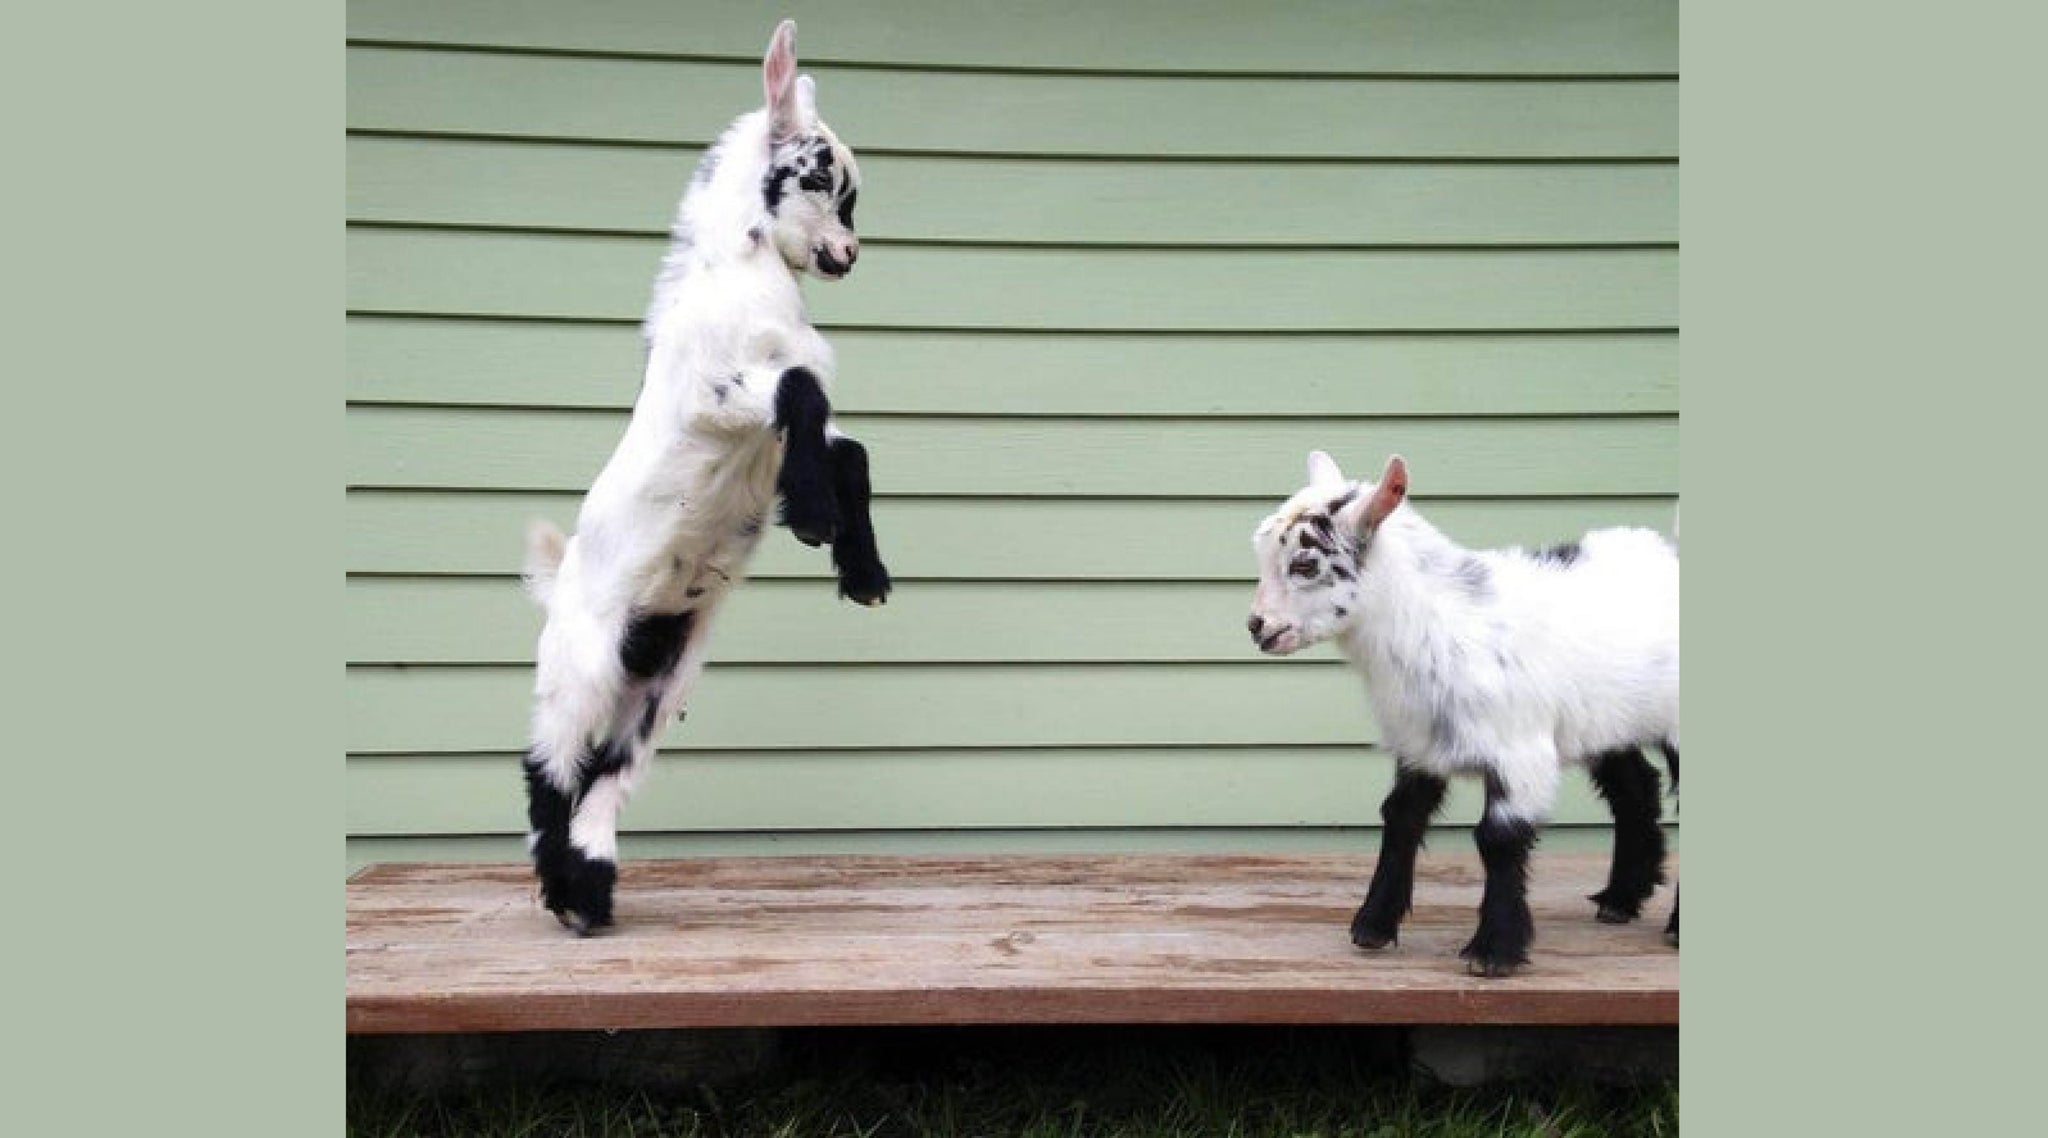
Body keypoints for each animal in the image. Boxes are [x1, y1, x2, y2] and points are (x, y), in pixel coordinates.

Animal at [520, 20, 890, 935]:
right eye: (823, 178)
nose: (848, 255)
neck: (738, 280)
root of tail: (557, 592)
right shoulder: (721, 397)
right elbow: (804, 392)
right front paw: (817, 520)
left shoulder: (779, 419)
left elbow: (848, 446)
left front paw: (860, 567)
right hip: (581, 671)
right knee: (549, 774)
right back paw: (568, 900)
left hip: (658, 686)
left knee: (605, 778)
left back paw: (592, 892)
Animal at [1247, 451, 1678, 976]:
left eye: (1305, 564)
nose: (1258, 627)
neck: (1442, 622)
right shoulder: (1420, 741)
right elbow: (1400, 817)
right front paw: (1373, 925)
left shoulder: (1518, 749)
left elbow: (1498, 839)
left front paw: (1494, 950)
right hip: (1607, 720)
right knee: (1635, 789)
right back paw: (1619, 899)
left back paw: (1672, 927)